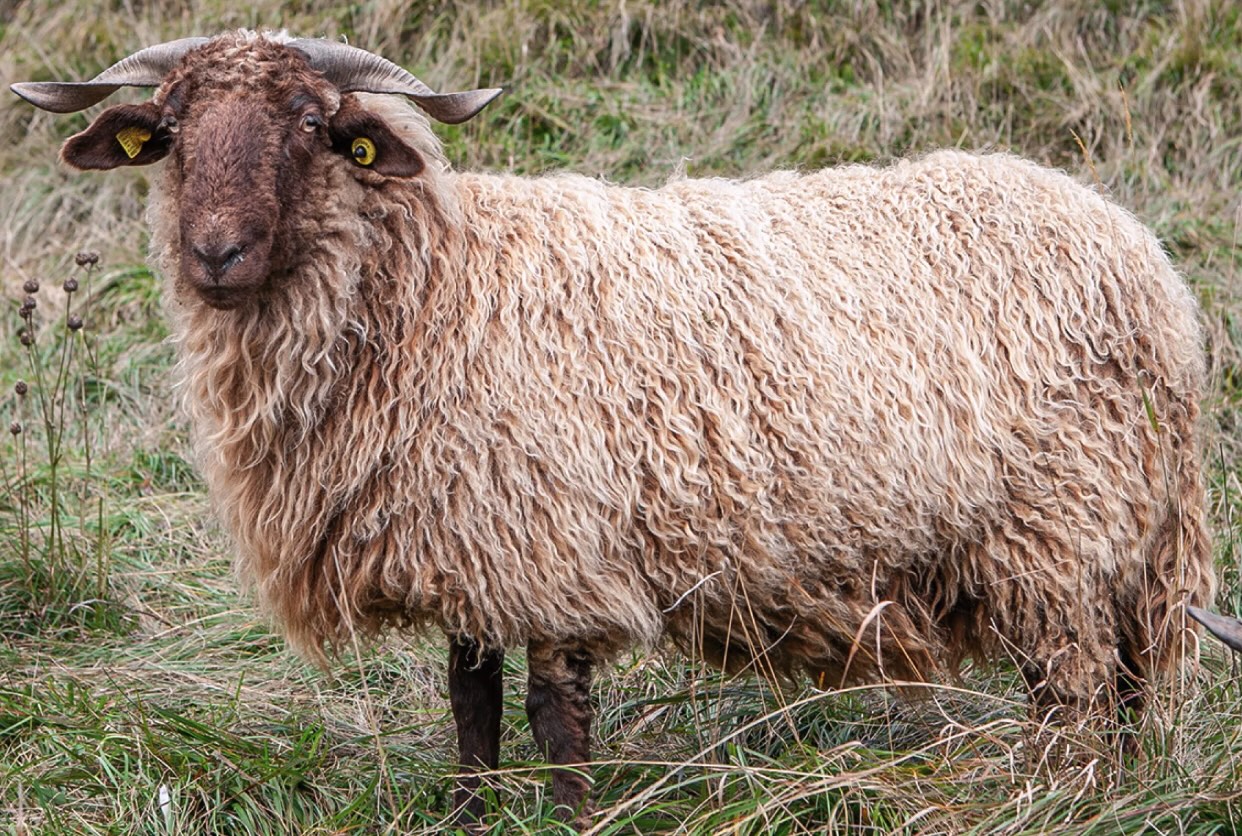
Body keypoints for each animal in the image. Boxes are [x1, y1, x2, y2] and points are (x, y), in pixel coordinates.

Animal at [13, 29, 1215, 828]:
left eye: (312, 126)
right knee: (1119, 696)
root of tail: (1146, 265)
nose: (214, 253)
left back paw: (1059, 799)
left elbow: (555, 721)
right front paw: (469, 812)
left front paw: (570, 818)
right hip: (1108, 549)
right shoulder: (474, 541)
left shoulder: (551, 549)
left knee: (1074, 699)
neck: (436, 286)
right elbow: (471, 706)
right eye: (169, 131)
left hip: (1060, 532)